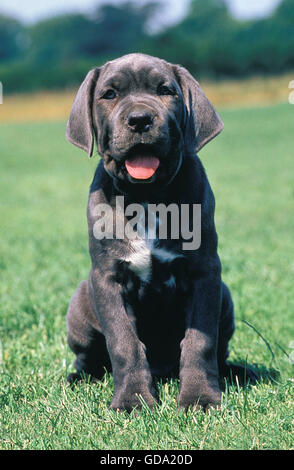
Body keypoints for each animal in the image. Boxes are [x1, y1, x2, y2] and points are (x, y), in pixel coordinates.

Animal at [65, 52, 254, 412]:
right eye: (109, 94)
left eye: (165, 91)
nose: (139, 119)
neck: (148, 196)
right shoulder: (107, 278)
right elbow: (124, 342)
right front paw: (133, 400)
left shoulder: (205, 274)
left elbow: (200, 342)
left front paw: (200, 398)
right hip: (81, 300)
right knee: (88, 358)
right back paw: (76, 378)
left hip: (225, 296)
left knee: (219, 352)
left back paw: (239, 372)